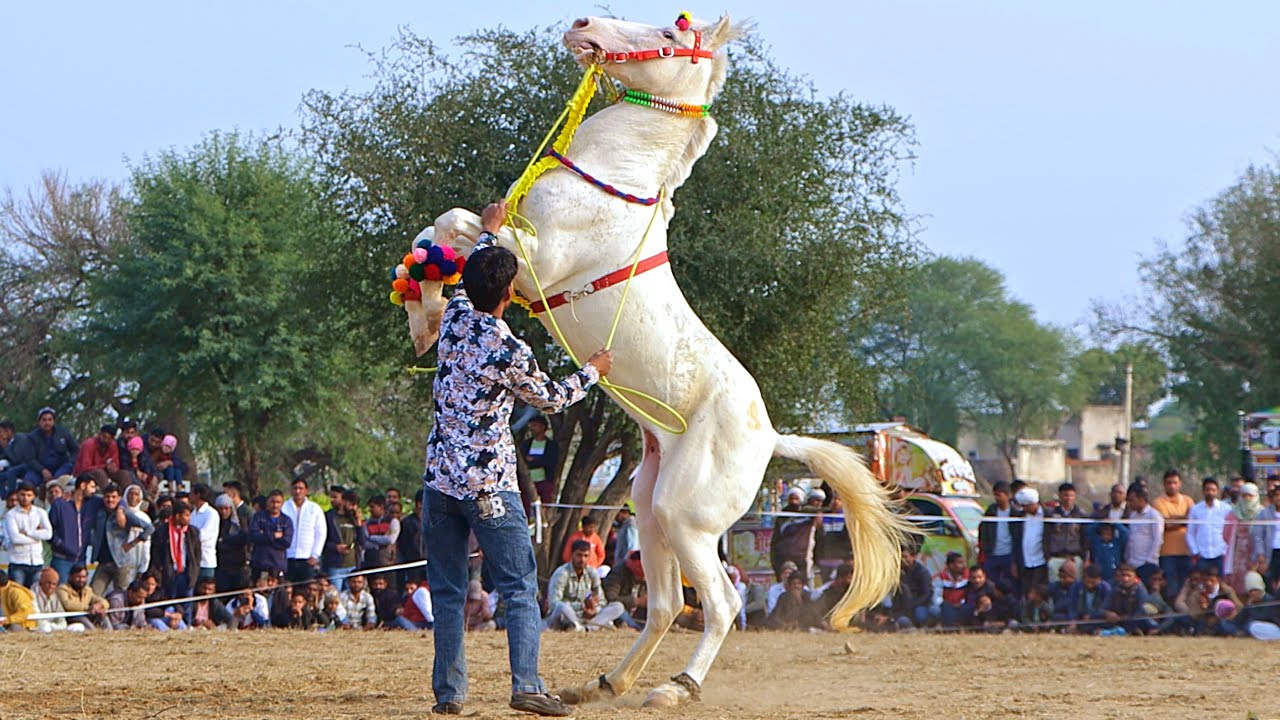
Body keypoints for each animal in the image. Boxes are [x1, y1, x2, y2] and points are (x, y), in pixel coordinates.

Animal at [402, 13, 911, 709]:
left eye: (671, 36)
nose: (581, 24)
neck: (614, 182)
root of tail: (772, 439)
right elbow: (442, 229)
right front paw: (421, 311)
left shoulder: (533, 262)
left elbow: (463, 228)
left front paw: (425, 303)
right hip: (647, 507)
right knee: (667, 603)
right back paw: (604, 683)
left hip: (686, 517)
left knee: (720, 604)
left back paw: (675, 687)